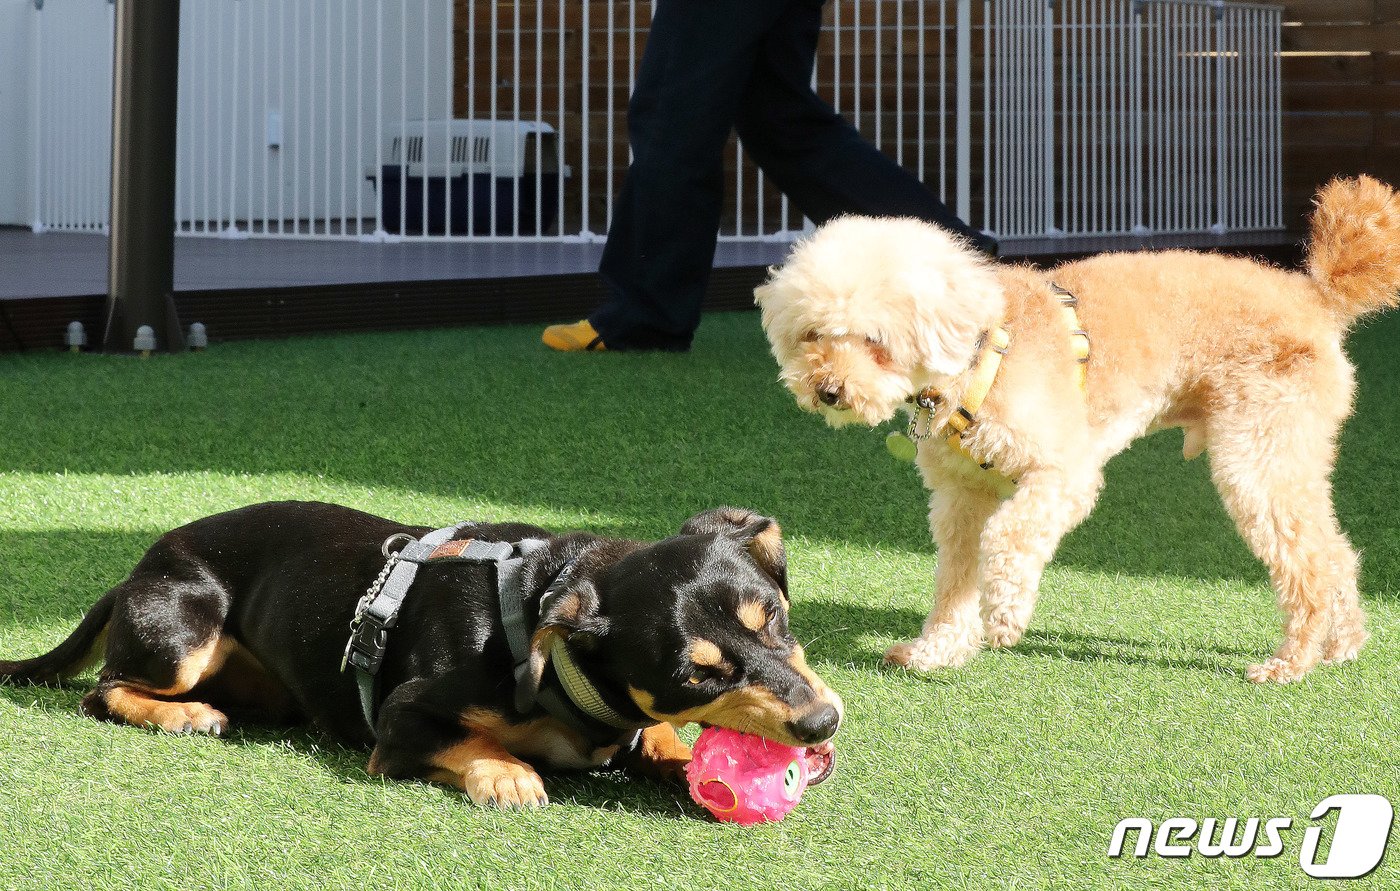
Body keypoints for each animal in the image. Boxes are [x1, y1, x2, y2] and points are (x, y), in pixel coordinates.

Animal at [0, 501, 840, 806]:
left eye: (776, 618)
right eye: (697, 673)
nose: (823, 722)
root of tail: (133, 571)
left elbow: (653, 736)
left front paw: (674, 754)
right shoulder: (402, 722)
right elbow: (465, 740)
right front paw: (507, 772)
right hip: (182, 635)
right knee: (102, 688)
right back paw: (184, 717)